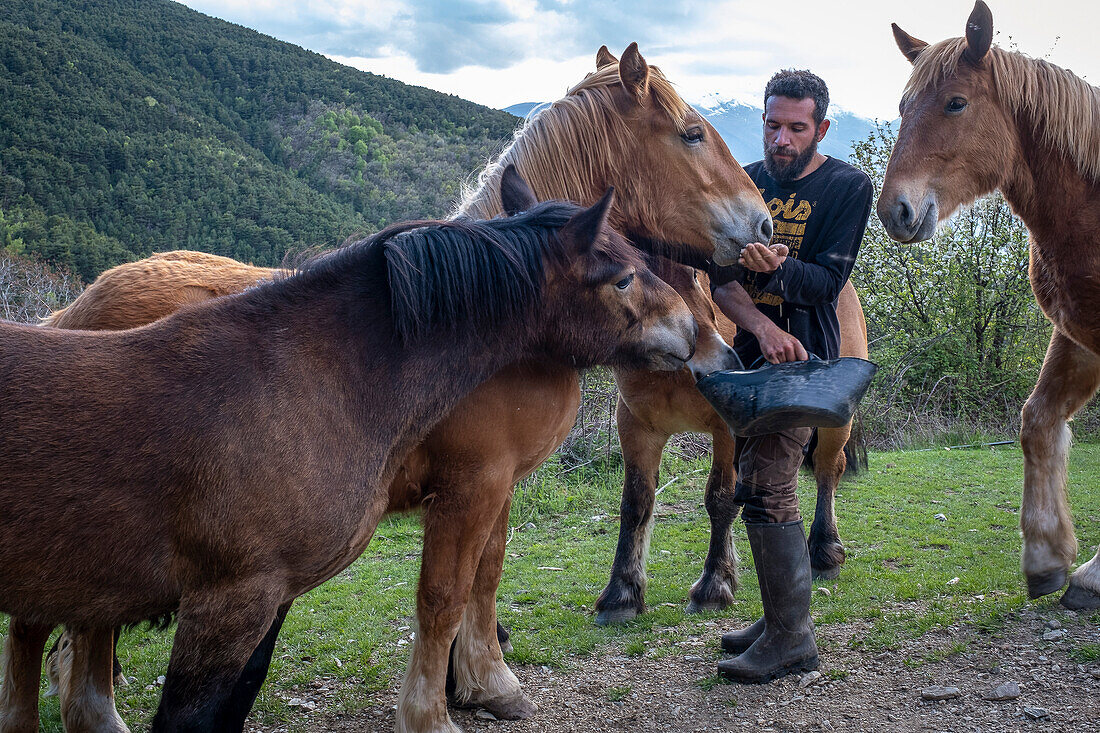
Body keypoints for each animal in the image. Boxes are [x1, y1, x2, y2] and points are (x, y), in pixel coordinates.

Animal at [875, 1, 1100, 611]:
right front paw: (1050, 561)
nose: (895, 210)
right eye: (903, 107)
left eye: (956, 102)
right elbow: (1038, 421)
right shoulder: (1077, 335)